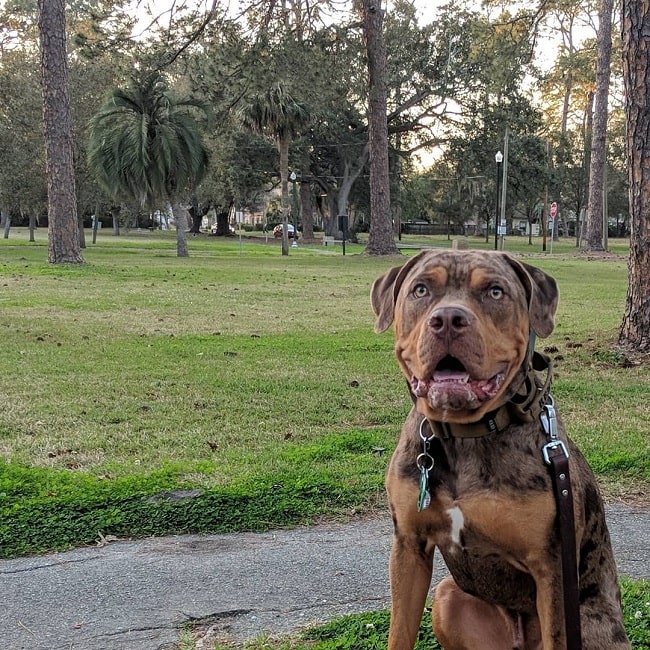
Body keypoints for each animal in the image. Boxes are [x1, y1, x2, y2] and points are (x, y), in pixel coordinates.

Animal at [370, 249, 628, 648]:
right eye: (421, 289)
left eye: (494, 291)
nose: (448, 319)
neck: (466, 435)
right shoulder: (409, 546)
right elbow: (399, 634)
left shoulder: (551, 567)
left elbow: (557, 634)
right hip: (446, 596)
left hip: (589, 621)